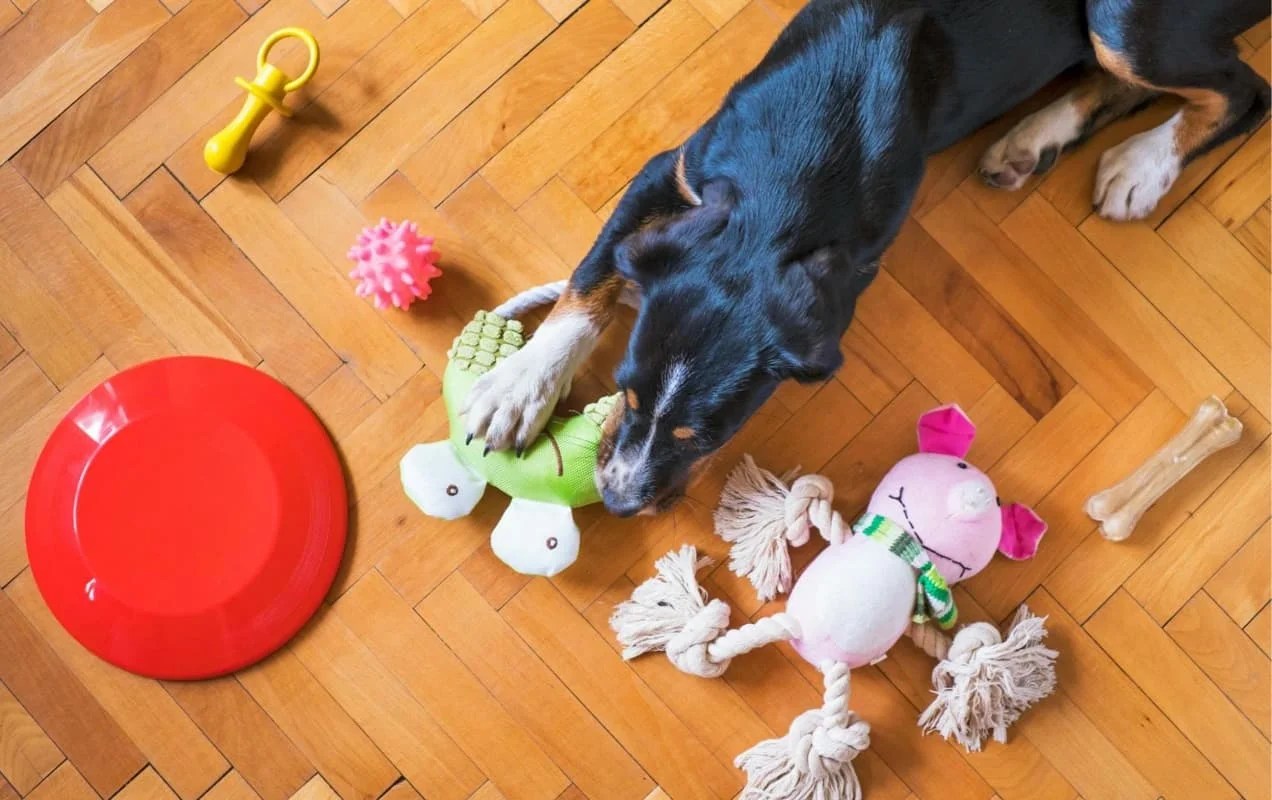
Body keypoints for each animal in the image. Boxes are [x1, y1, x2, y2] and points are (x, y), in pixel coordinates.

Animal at [468, 0, 1272, 513]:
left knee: (1242, 93)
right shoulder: (673, 171)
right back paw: (1031, 140)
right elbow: (591, 277)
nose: (616, 500)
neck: (803, 160)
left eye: (711, 435)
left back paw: (1142, 166)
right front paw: (518, 386)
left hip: (1121, 17)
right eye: (626, 393)